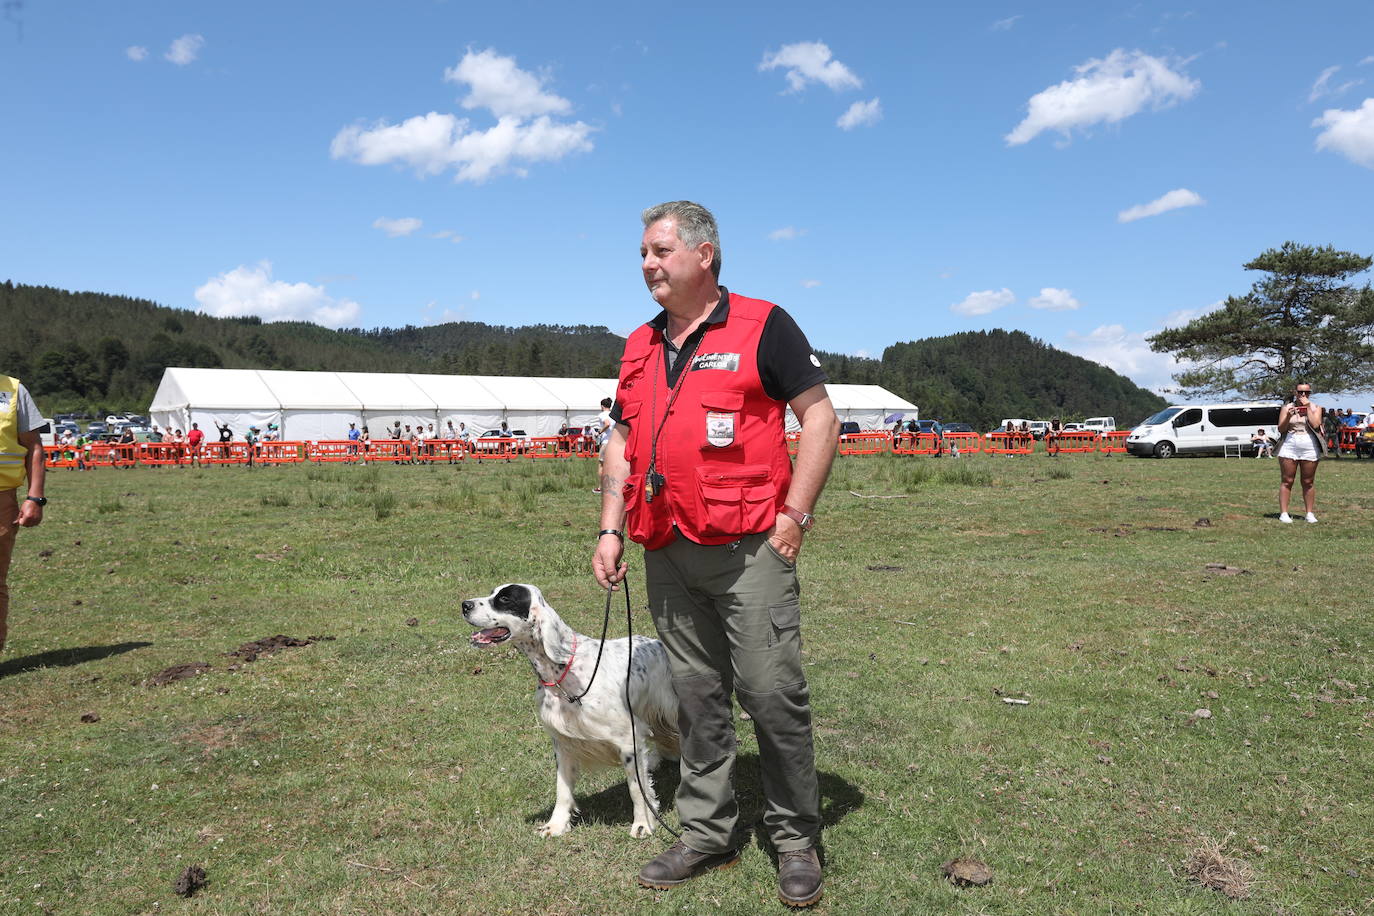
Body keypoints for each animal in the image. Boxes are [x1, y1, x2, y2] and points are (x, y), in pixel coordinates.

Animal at [458, 587, 678, 840]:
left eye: (504, 598)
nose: (465, 605)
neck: (562, 669)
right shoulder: (563, 741)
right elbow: (562, 789)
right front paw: (555, 825)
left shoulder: (627, 739)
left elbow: (636, 788)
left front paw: (643, 824)